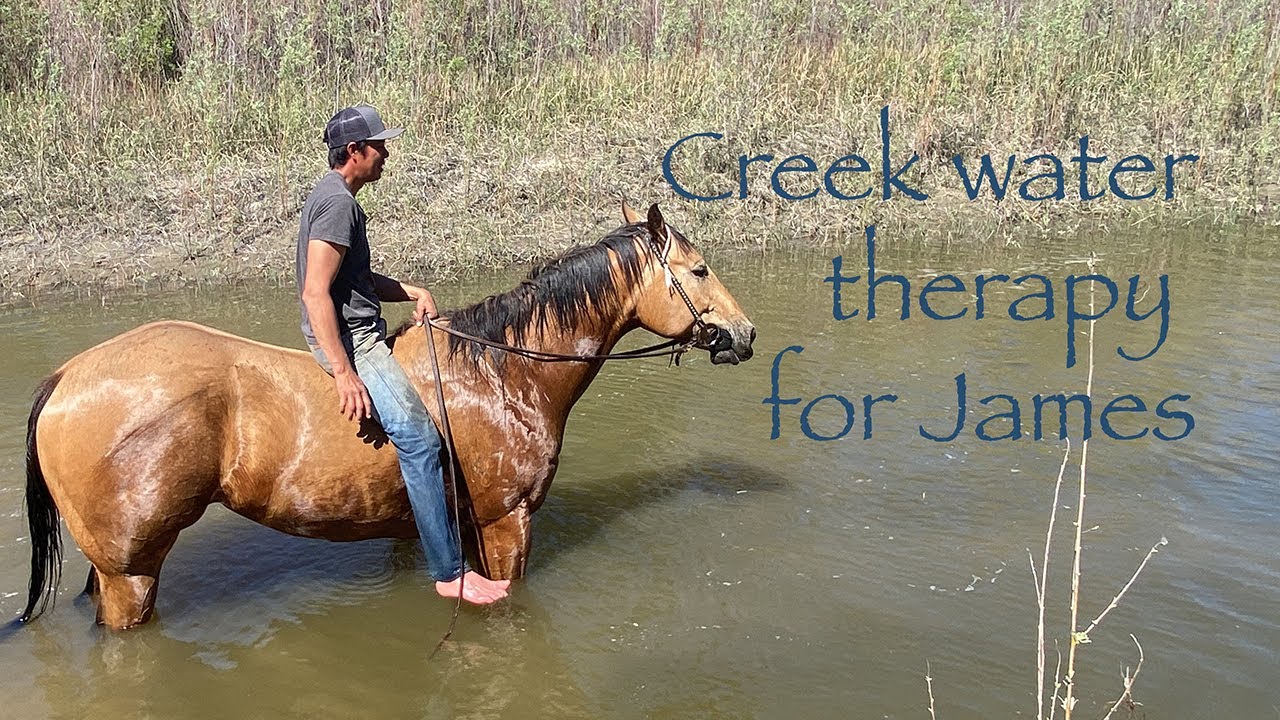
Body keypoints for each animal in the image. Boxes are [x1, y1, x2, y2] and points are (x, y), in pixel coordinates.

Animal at [18, 203, 756, 630]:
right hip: (130, 573)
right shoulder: (506, 523)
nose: (744, 334)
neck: (503, 373)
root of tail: (64, 378)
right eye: (698, 269)